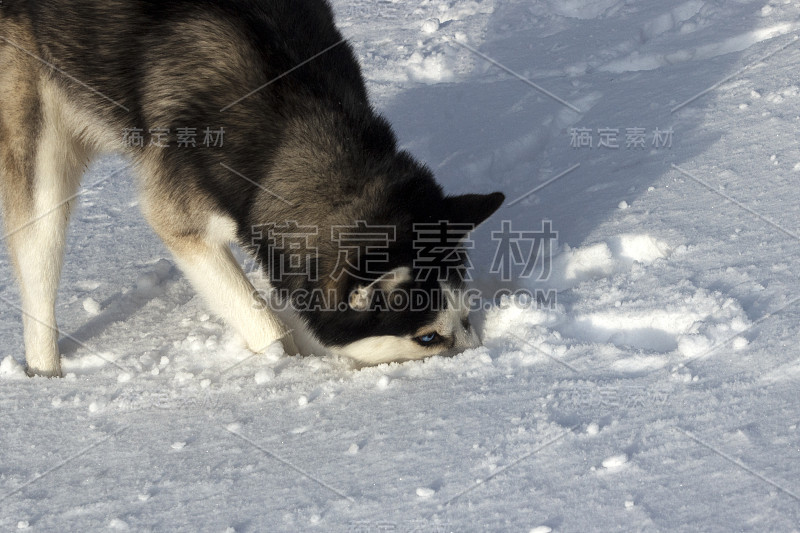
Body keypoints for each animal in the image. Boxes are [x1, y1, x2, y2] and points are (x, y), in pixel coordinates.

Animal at [0, 0, 500, 376]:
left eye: (466, 317)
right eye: (429, 337)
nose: (481, 363)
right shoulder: (183, 223)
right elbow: (265, 323)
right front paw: (290, 365)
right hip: (43, 159)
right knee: (40, 262)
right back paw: (45, 378)